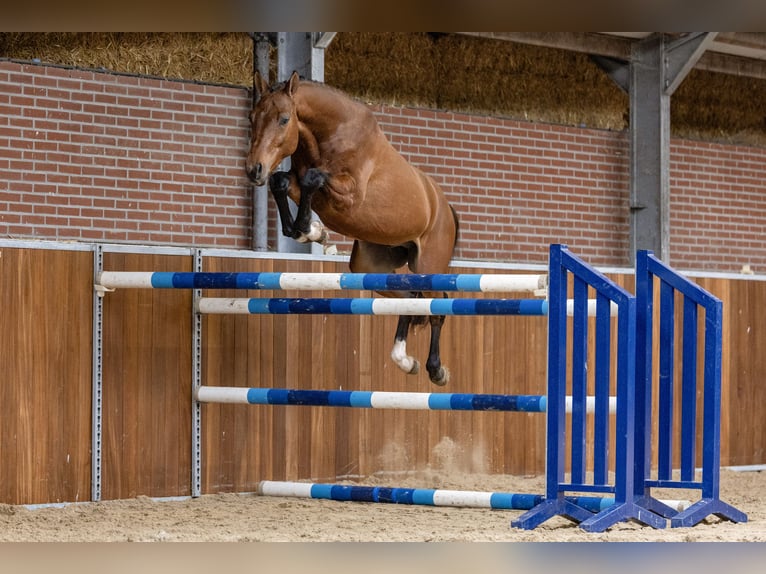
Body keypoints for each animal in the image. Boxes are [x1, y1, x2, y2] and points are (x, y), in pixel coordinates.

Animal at [248, 71, 462, 388]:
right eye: (252, 117)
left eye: (284, 119)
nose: (254, 170)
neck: (330, 133)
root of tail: (445, 208)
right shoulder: (300, 183)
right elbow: (282, 182)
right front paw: (312, 231)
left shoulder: (349, 196)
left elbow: (313, 178)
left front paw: (311, 230)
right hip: (371, 266)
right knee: (412, 297)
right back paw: (404, 360)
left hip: (428, 265)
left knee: (437, 305)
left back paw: (436, 370)